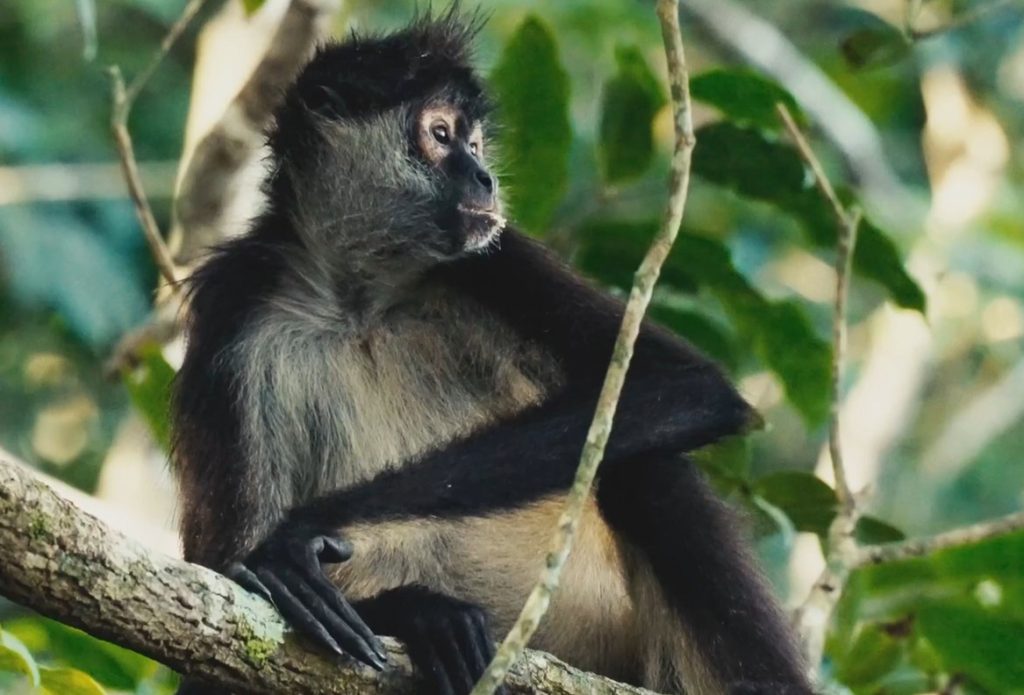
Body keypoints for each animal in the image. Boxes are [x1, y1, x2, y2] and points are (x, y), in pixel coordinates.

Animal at [174, 6, 815, 695]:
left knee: (650, 468)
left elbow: (687, 387)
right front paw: (416, 610)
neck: (359, 299)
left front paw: (306, 531)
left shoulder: (496, 260)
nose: (485, 177)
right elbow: (225, 585)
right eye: (440, 135)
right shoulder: (234, 307)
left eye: (475, 145)